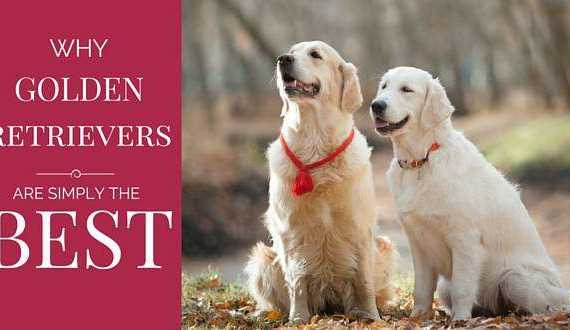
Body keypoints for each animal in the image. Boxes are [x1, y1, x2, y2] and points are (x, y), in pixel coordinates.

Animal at [243, 41, 394, 322]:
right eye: (291, 51)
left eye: (315, 55)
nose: (283, 59)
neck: (314, 141)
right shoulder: (291, 230)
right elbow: (297, 280)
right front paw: (299, 320)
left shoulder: (359, 227)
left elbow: (363, 280)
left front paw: (371, 317)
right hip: (263, 258)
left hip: (384, 246)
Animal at [370, 65, 564, 320]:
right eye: (384, 86)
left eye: (407, 90)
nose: (376, 105)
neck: (422, 160)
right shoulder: (417, 241)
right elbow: (421, 289)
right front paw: (417, 318)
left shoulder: (464, 238)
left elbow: (462, 288)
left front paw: (460, 320)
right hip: (450, 285)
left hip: (514, 278)